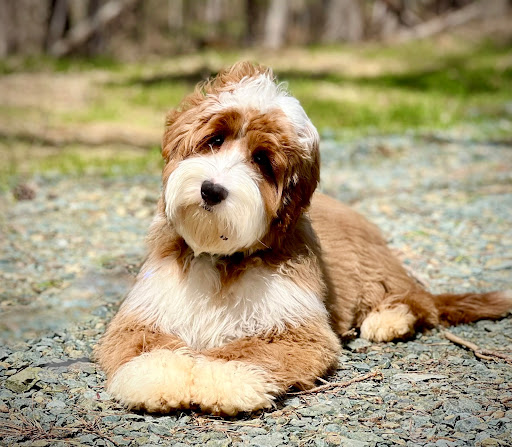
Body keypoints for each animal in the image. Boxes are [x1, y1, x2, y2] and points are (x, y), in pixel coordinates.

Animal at [96, 62, 512, 416]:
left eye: (262, 160)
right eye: (214, 140)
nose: (211, 190)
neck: (222, 257)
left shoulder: (297, 327)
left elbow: (250, 353)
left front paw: (224, 380)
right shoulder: (147, 312)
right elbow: (143, 347)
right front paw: (159, 379)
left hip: (373, 269)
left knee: (416, 299)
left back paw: (389, 320)